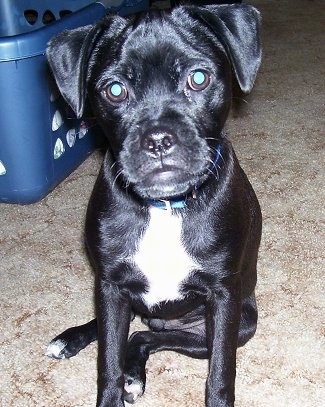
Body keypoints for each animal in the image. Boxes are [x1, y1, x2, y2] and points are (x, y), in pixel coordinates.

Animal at [45, 3, 262, 407]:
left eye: (198, 78)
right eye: (115, 90)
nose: (158, 139)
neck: (165, 207)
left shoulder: (223, 297)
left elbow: (220, 375)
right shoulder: (111, 285)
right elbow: (107, 364)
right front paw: (112, 390)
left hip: (236, 324)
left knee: (146, 336)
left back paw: (134, 370)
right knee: (128, 330)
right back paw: (72, 340)